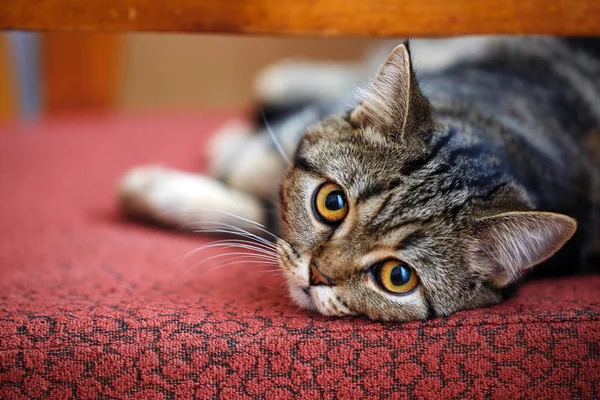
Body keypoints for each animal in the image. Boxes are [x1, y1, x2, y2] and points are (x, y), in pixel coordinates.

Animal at [119, 37, 600, 322]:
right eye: (331, 202)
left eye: (397, 276)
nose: (317, 274)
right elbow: (257, 166)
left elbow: (251, 209)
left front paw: (157, 190)